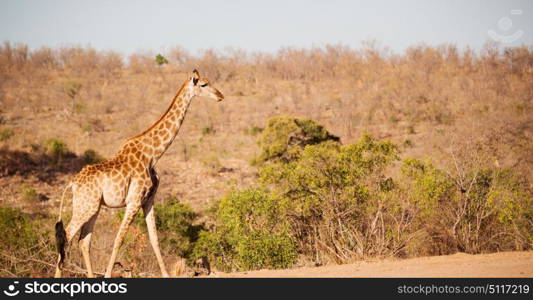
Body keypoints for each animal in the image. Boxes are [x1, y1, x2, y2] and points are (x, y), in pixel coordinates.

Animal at [52, 69, 222, 278]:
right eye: (204, 84)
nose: (220, 96)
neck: (153, 154)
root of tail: (73, 183)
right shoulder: (133, 201)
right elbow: (119, 239)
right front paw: (108, 275)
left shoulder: (148, 200)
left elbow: (154, 239)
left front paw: (166, 274)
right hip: (86, 206)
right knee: (67, 235)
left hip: (93, 206)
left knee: (83, 241)